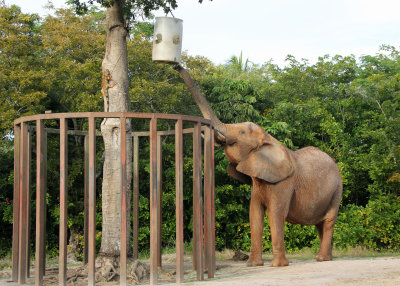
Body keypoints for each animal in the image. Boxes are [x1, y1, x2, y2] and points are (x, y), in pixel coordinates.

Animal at [174, 64, 344, 266]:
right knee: (320, 224)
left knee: (328, 221)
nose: (176, 65)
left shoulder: (284, 183)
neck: (269, 139)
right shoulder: (257, 182)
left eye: (241, 132)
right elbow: (254, 213)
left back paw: (321, 259)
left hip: (337, 190)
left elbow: (276, 213)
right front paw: (253, 265)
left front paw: (278, 266)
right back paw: (326, 258)